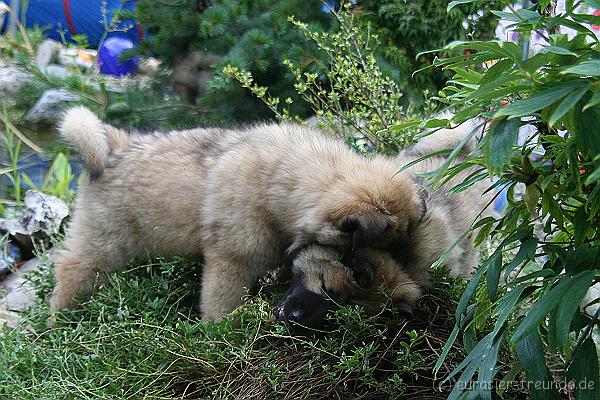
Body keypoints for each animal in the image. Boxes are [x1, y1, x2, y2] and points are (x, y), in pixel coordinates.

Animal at [51, 106, 422, 322]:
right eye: (353, 251)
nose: (376, 271)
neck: (286, 181)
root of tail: (113, 147)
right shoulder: (232, 259)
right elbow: (221, 301)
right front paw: (221, 333)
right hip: (104, 243)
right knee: (72, 272)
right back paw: (60, 321)